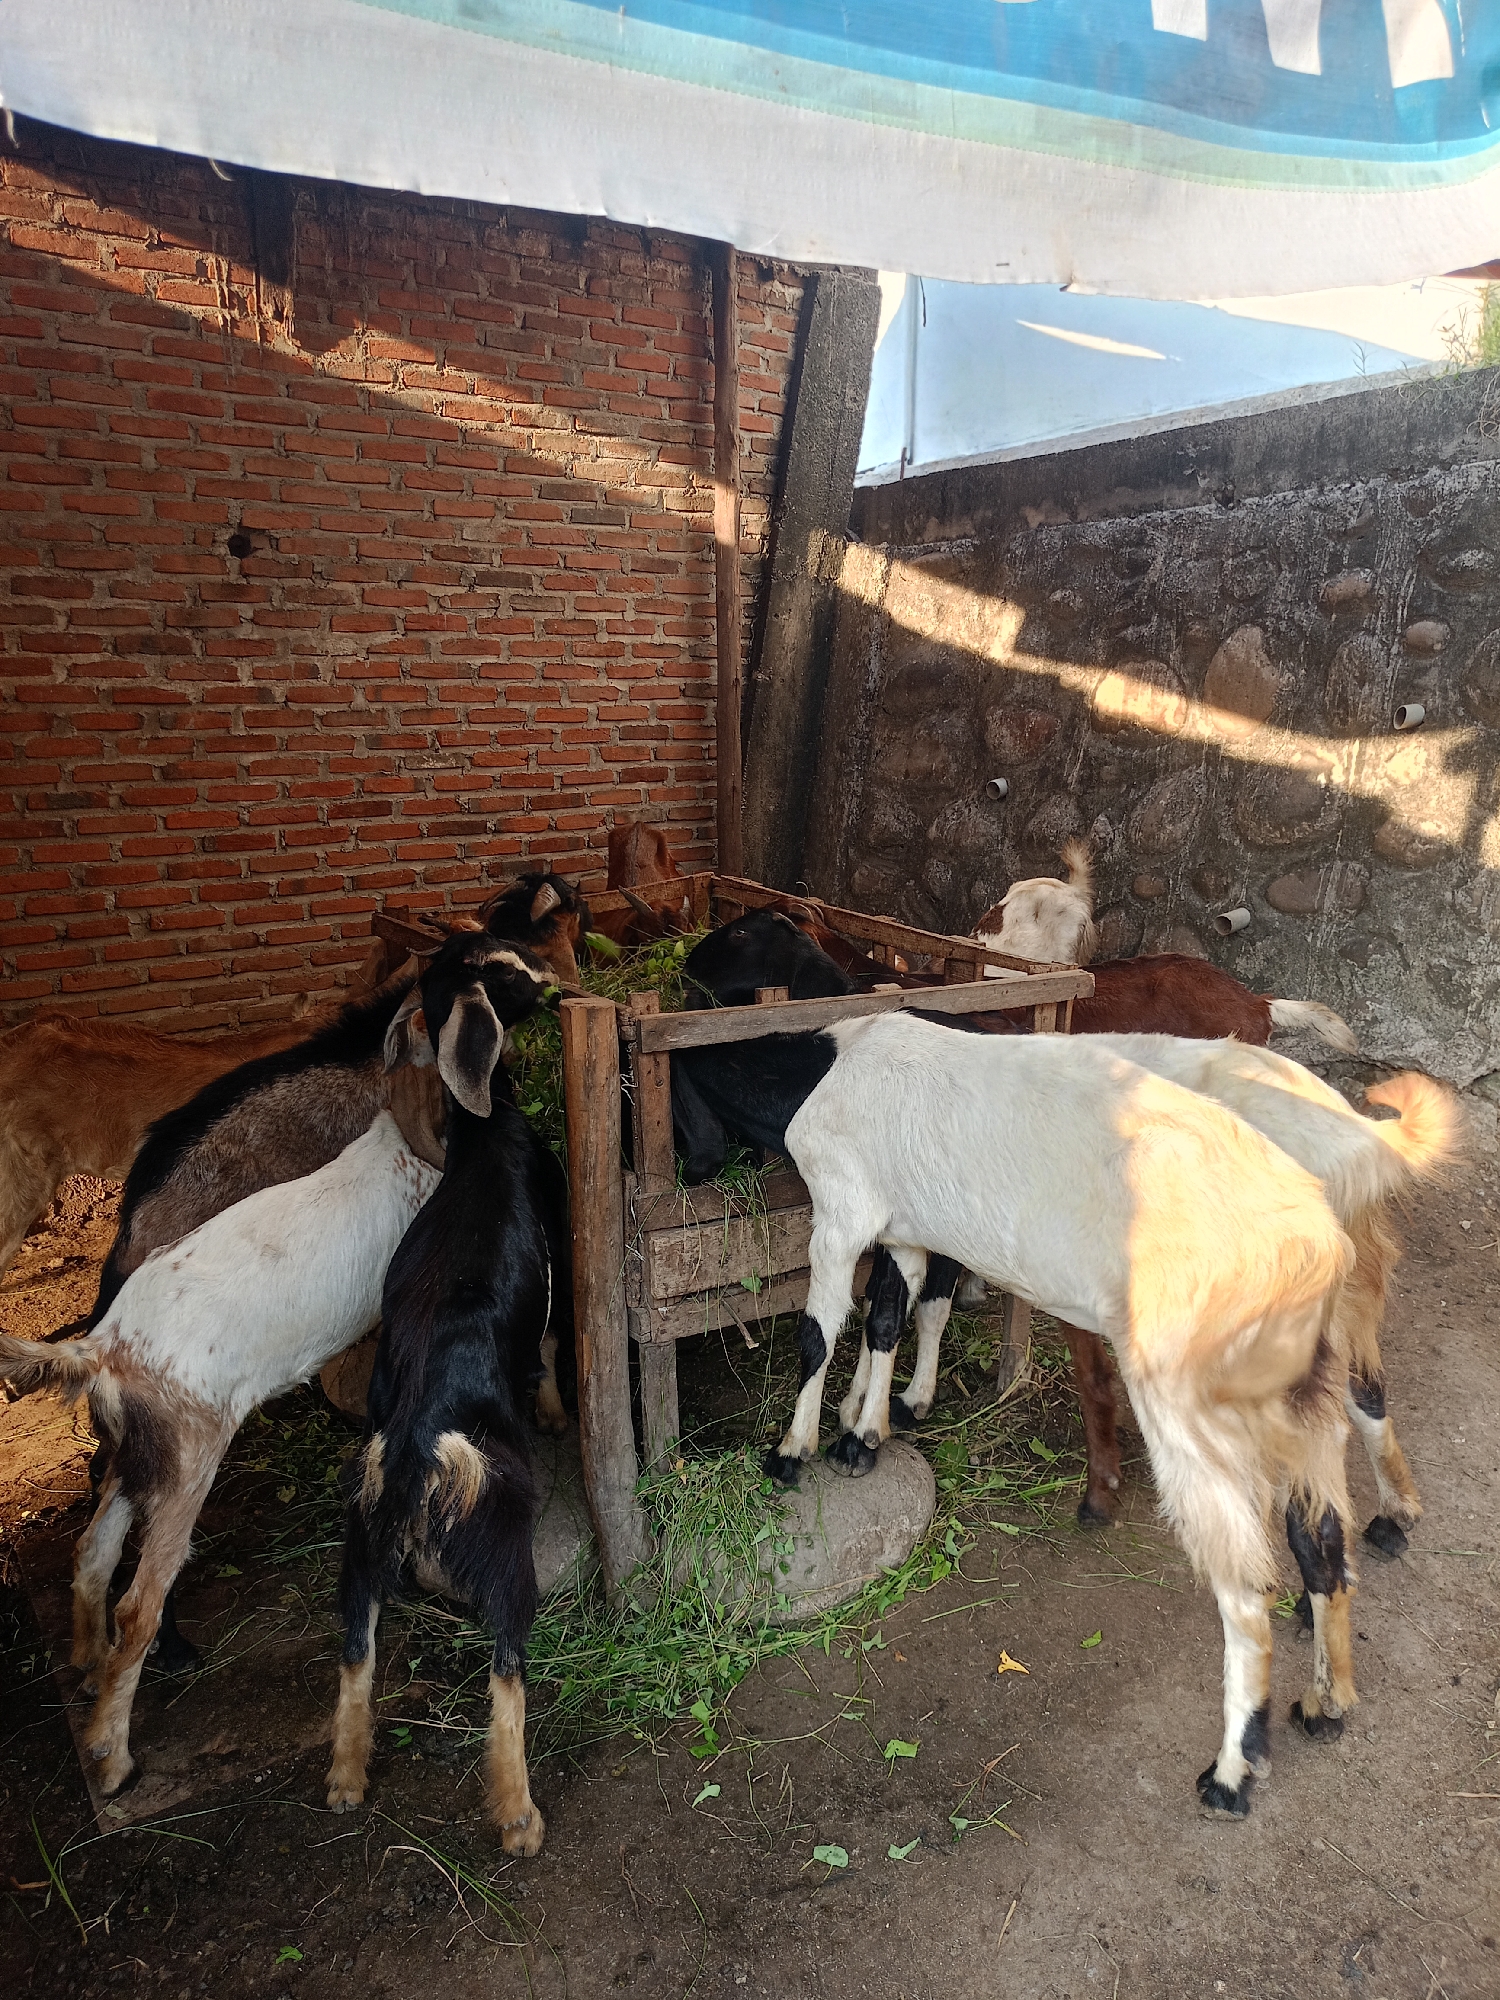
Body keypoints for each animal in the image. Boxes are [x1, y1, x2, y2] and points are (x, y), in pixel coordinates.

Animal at [327, 933, 562, 1850]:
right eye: (504, 972)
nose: (556, 984)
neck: (481, 1146)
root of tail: (420, 1443)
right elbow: (552, 1352)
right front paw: (555, 1412)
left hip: (361, 1537)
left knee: (356, 1646)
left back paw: (346, 1781)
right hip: (502, 1536)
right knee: (506, 1660)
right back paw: (520, 1816)